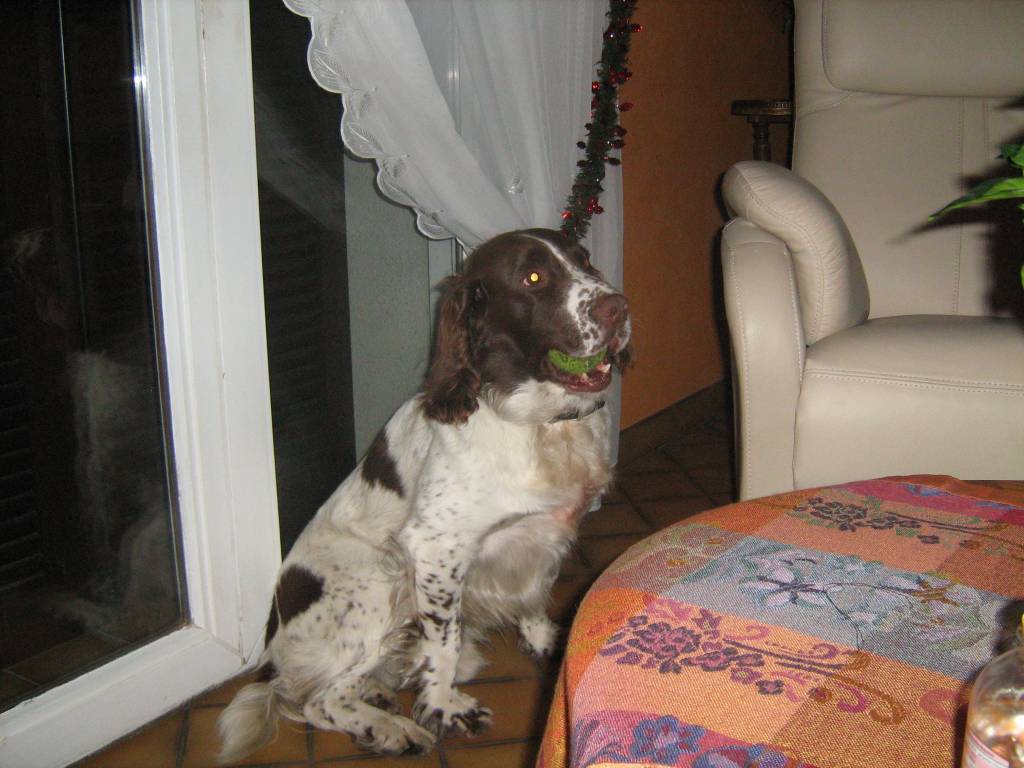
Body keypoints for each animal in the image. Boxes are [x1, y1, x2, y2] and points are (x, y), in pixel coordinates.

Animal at [217, 228, 631, 761]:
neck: (538, 424)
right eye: (534, 277)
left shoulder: (546, 532)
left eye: (585, 260)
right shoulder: (437, 548)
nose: (619, 307)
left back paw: (379, 696)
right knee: (317, 700)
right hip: (374, 579)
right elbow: (445, 645)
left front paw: (545, 642)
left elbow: (537, 593)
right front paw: (442, 708)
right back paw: (389, 728)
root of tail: (270, 652)